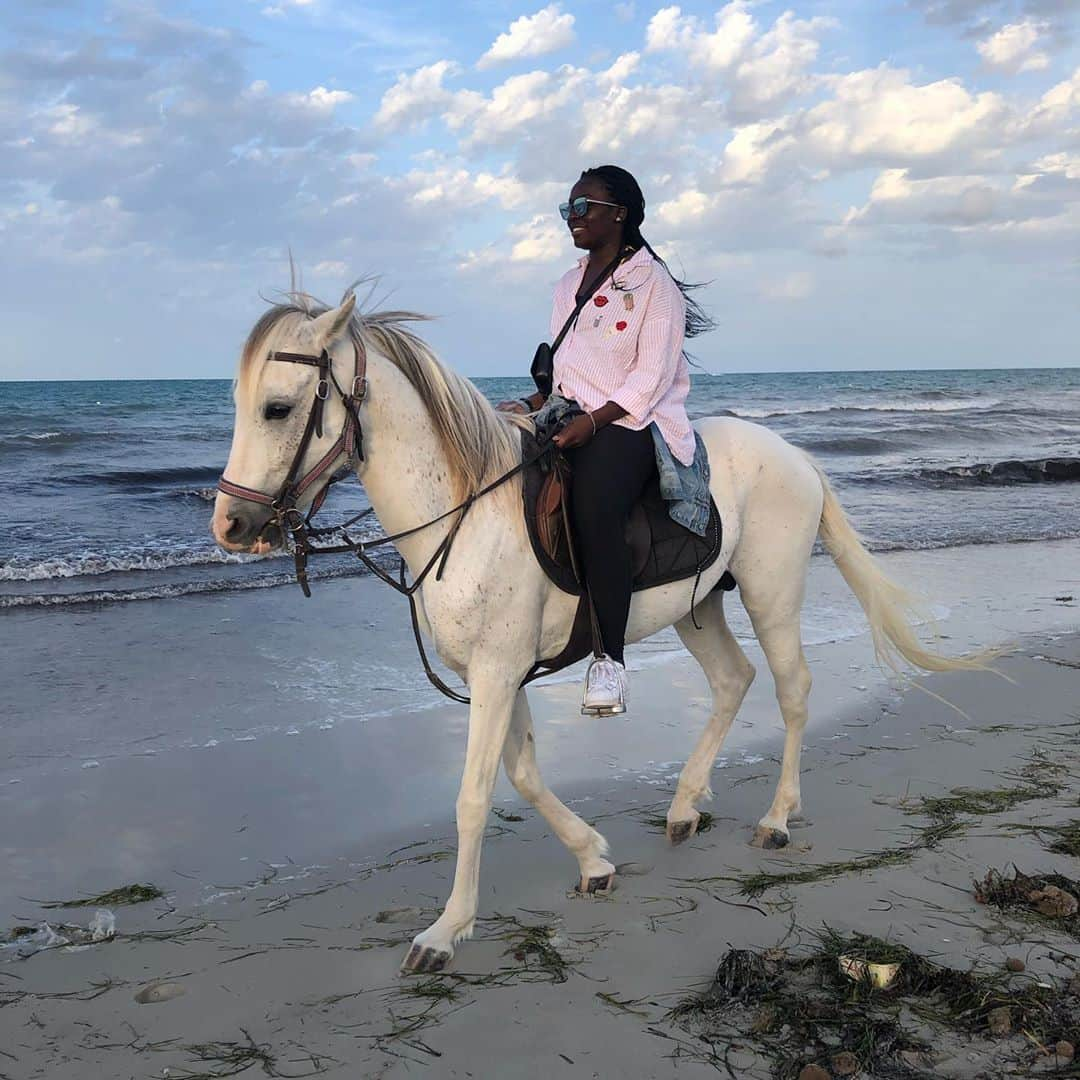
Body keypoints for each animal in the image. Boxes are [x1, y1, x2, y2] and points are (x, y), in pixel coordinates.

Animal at [210, 291, 980, 976]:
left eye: (278, 407)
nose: (230, 526)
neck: (464, 512)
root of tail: (793, 452)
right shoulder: (497, 675)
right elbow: (523, 775)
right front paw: (593, 859)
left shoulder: (497, 673)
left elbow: (472, 798)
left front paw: (446, 930)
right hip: (699, 607)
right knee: (734, 680)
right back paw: (684, 807)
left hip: (772, 594)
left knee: (792, 691)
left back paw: (777, 819)